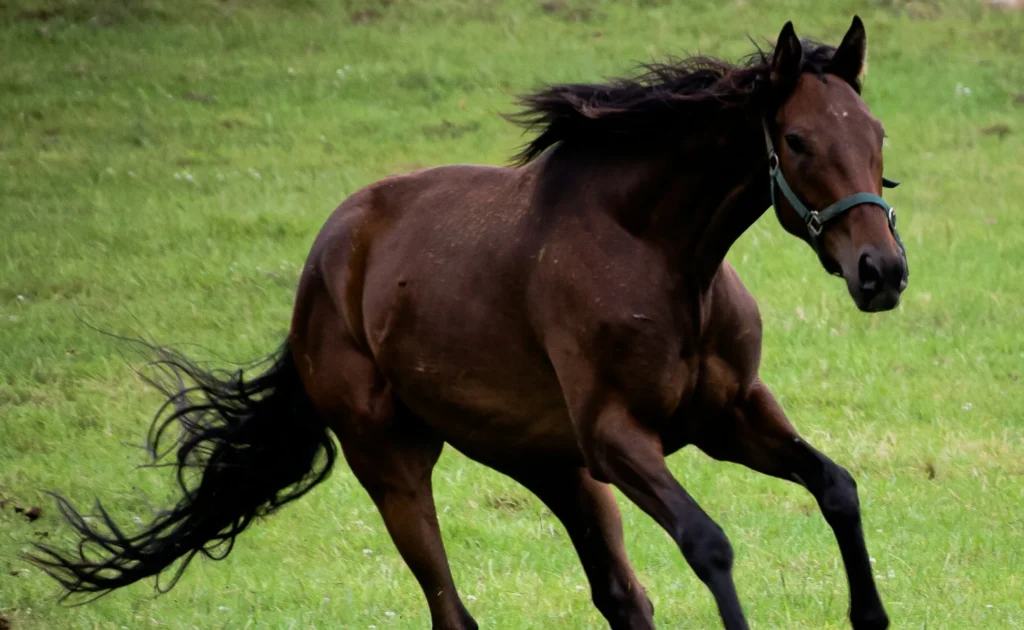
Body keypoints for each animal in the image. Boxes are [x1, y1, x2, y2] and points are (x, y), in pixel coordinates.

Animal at [32, 14, 909, 630]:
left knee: (620, 597)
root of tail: (321, 269)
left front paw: (870, 615)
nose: (883, 272)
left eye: (877, 134)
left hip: (556, 469)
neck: (661, 256)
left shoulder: (730, 416)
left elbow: (836, 488)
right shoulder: (618, 437)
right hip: (396, 463)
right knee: (452, 610)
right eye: (796, 140)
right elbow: (710, 543)